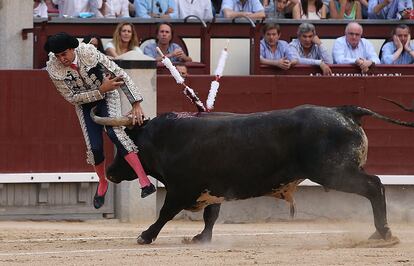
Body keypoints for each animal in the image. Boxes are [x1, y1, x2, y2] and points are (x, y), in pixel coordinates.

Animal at [93, 103, 414, 244]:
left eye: (122, 148)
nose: (110, 172)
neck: (165, 139)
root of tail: (344, 111)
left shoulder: (182, 188)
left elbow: (165, 213)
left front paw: (145, 236)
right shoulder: (213, 188)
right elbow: (211, 216)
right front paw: (201, 238)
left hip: (335, 172)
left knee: (374, 186)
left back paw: (383, 233)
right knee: (374, 187)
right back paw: (378, 233)